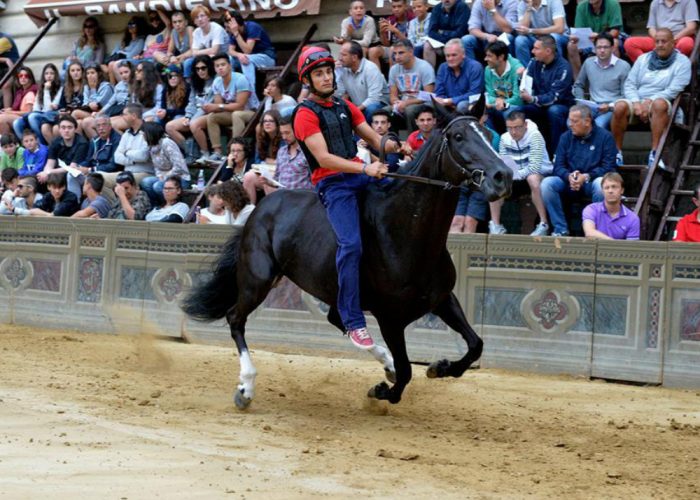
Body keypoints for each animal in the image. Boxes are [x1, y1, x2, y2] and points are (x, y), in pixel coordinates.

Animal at [183, 99, 512, 408]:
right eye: (458, 136)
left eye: (487, 133)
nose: (503, 176)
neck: (405, 231)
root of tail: (261, 206)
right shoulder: (390, 317)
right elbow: (406, 372)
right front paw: (381, 390)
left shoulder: (442, 298)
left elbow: (476, 344)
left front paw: (439, 367)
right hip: (258, 280)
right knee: (235, 318)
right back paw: (246, 388)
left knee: (338, 320)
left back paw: (385, 363)